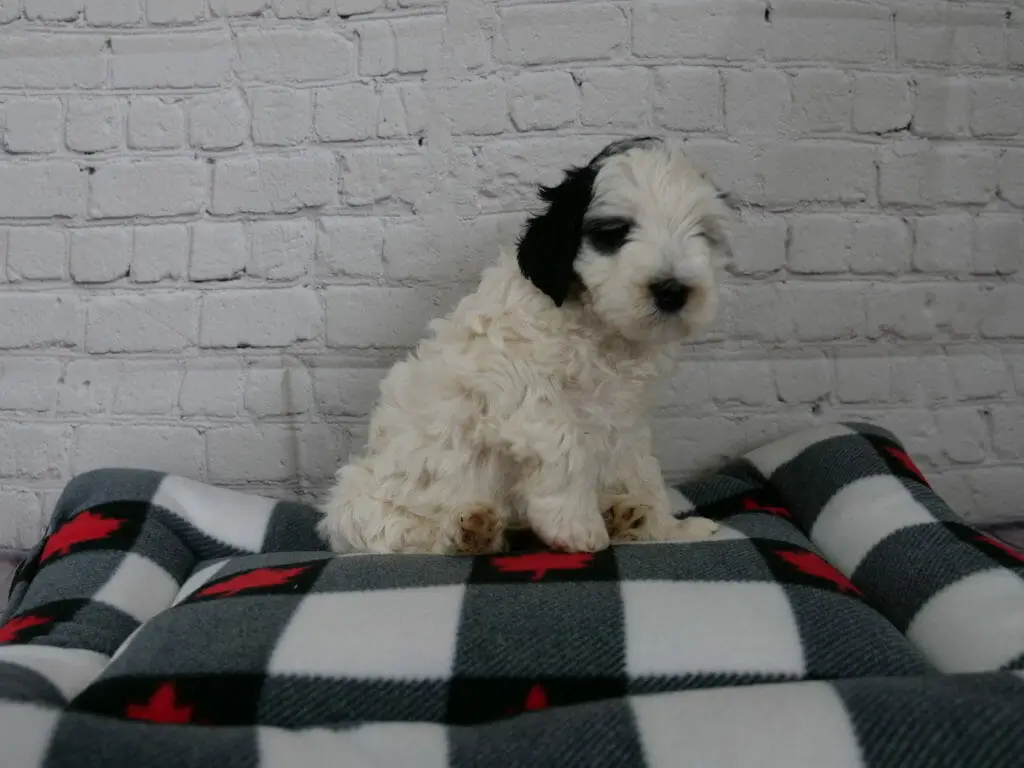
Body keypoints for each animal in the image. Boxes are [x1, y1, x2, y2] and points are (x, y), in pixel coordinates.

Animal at [319, 138, 729, 557]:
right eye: (615, 232)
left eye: (703, 233)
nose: (672, 291)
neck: (601, 332)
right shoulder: (525, 391)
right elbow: (567, 448)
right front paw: (577, 527)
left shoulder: (626, 418)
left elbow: (642, 472)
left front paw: (668, 529)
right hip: (360, 500)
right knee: (406, 532)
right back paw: (470, 531)